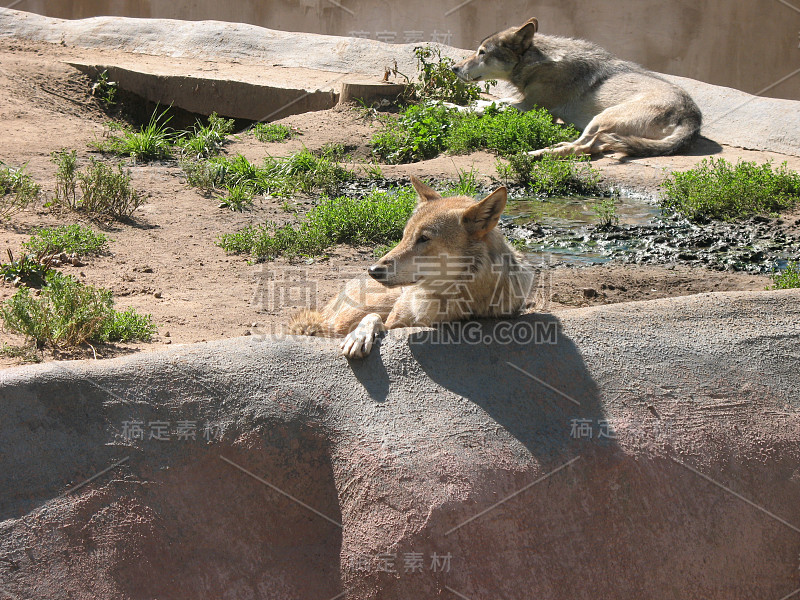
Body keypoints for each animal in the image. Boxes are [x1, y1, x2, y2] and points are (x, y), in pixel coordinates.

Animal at [290, 176, 536, 358]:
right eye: (404, 236)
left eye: (423, 239)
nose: (373, 270)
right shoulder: (392, 321)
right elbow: (373, 319)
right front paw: (359, 337)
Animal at [454, 17, 704, 159]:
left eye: (482, 53)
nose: (454, 68)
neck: (536, 61)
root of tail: (693, 118)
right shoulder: (526, 103)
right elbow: (491, 103)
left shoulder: (533, 108)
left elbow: (488, 106)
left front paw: (450, 106)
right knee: (587, 147)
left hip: (602, 118)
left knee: (580, 149)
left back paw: (531, 154)